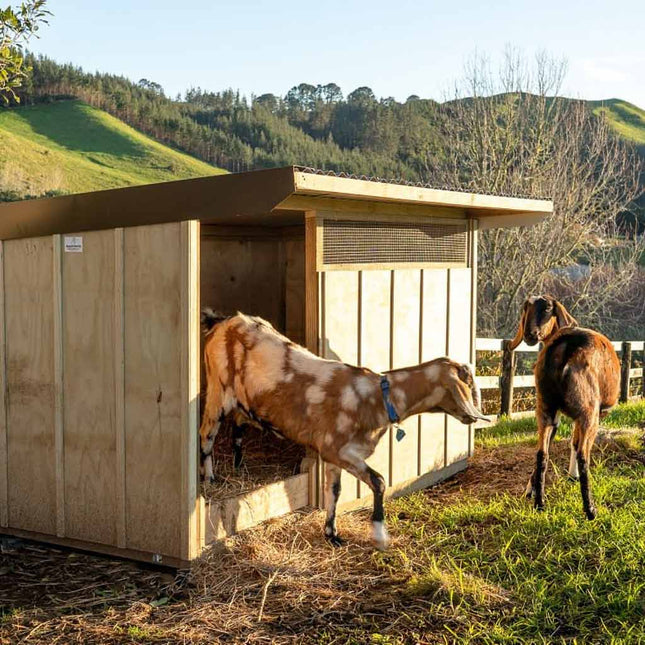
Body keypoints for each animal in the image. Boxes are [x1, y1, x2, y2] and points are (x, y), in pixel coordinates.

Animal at [199, 309, 486, 549]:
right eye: (465, 382)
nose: (470, 418)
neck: (377, 398)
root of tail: (222, 321)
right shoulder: (339, 450)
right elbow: (379, 481)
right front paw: (380, 535)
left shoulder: (333, 456)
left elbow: (334, 491)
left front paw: (332, 534)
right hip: (217, 390)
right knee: (206, 433)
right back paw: (210, 479)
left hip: (243, 400)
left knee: (238, 423)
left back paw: (238, 465)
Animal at [509, 295, 620, 519]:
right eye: (527, 308)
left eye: (547, 309)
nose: (530, 334)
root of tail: (565, 347)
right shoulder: (592, 413)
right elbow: (575, 444)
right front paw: (572, 476)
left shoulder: (557, 415)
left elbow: (564, 442)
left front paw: (530, 489)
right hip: (588, 410)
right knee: (583, 455)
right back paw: (590, 510)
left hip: (545, 406)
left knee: (541, 453)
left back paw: (540, 504)